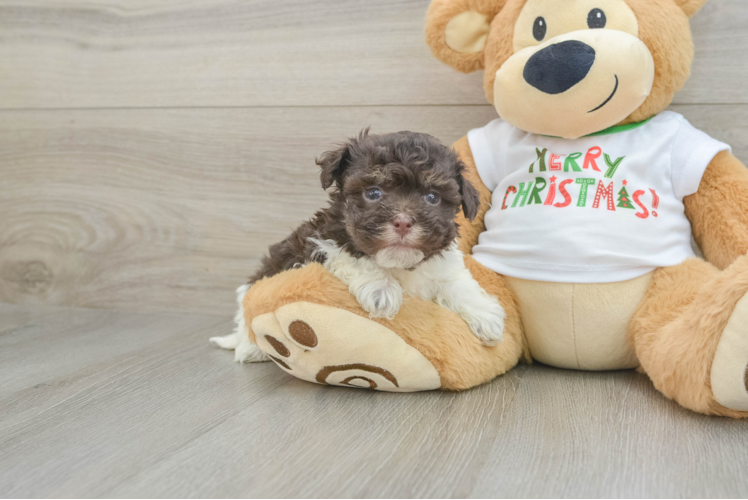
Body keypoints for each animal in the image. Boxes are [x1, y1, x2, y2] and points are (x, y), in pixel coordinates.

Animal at [207, 130, 506, 364]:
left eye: (432, 197)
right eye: (373, 192)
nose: (403, 222)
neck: (397, 264)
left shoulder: (442, 265)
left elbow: (458, 283)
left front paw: (485, 315)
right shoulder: (320, 242)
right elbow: (353, 256)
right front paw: (381, 290)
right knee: (245, 320)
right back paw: (250, 349)